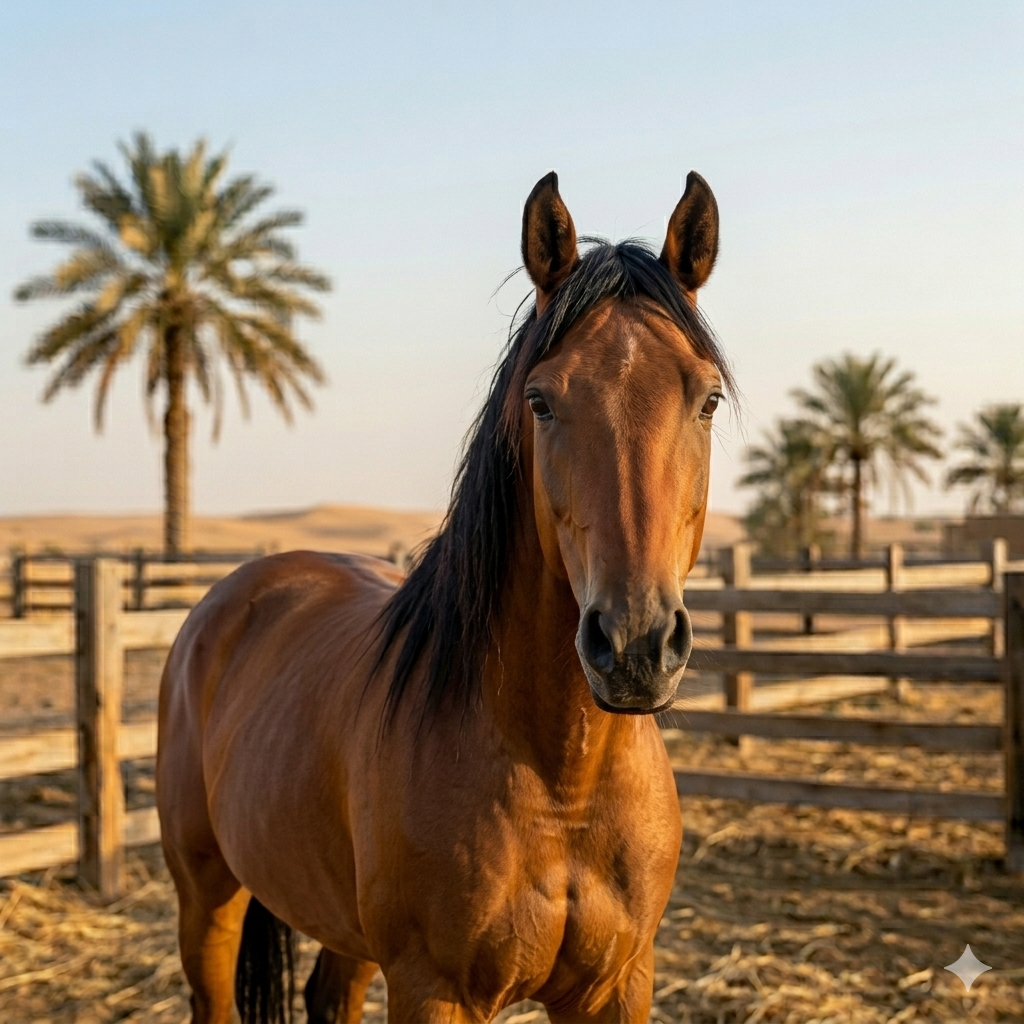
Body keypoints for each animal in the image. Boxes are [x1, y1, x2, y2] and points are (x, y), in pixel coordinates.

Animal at [156, 169, 733, 1023]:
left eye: (707, 400)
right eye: (541, 401)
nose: (634, 645)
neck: (561, 783)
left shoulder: (618, 984)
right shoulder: (435, 989)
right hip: (207, 898)